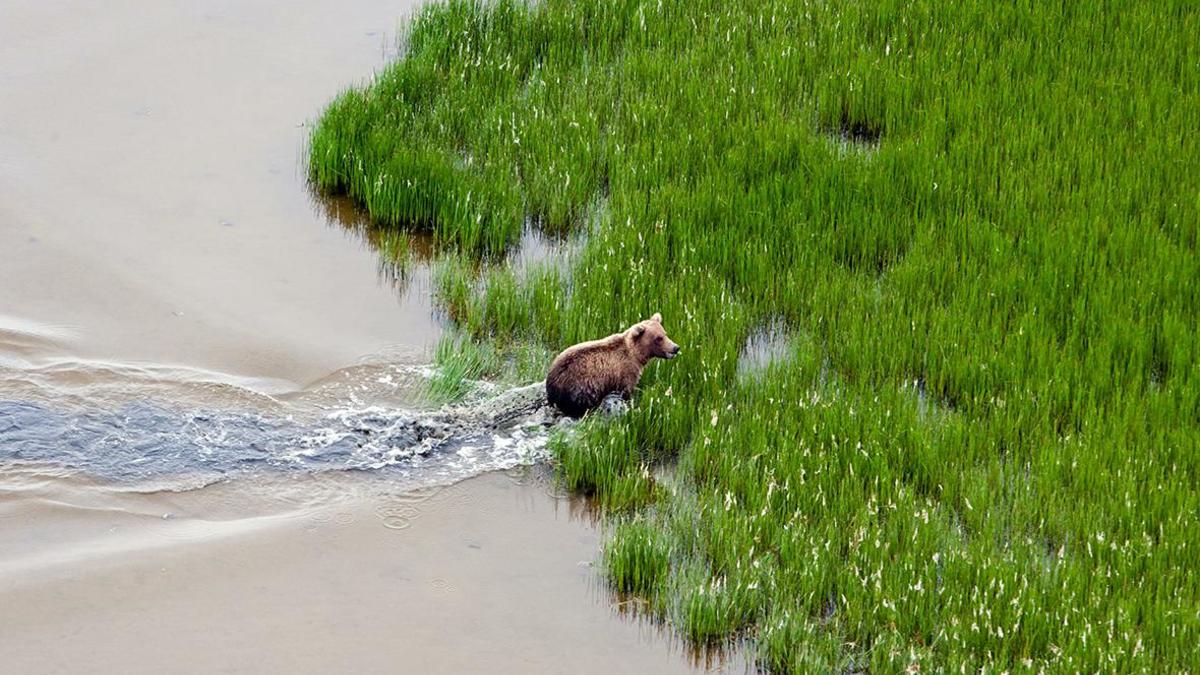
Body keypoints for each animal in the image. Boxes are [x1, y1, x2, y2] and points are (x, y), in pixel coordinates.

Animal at [547, 312, 681, 415]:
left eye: (665, 333)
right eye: (658, 338)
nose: (675, 347)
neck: (636, 355)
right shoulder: (626, 372)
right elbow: (626, 390)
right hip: (580, 387)